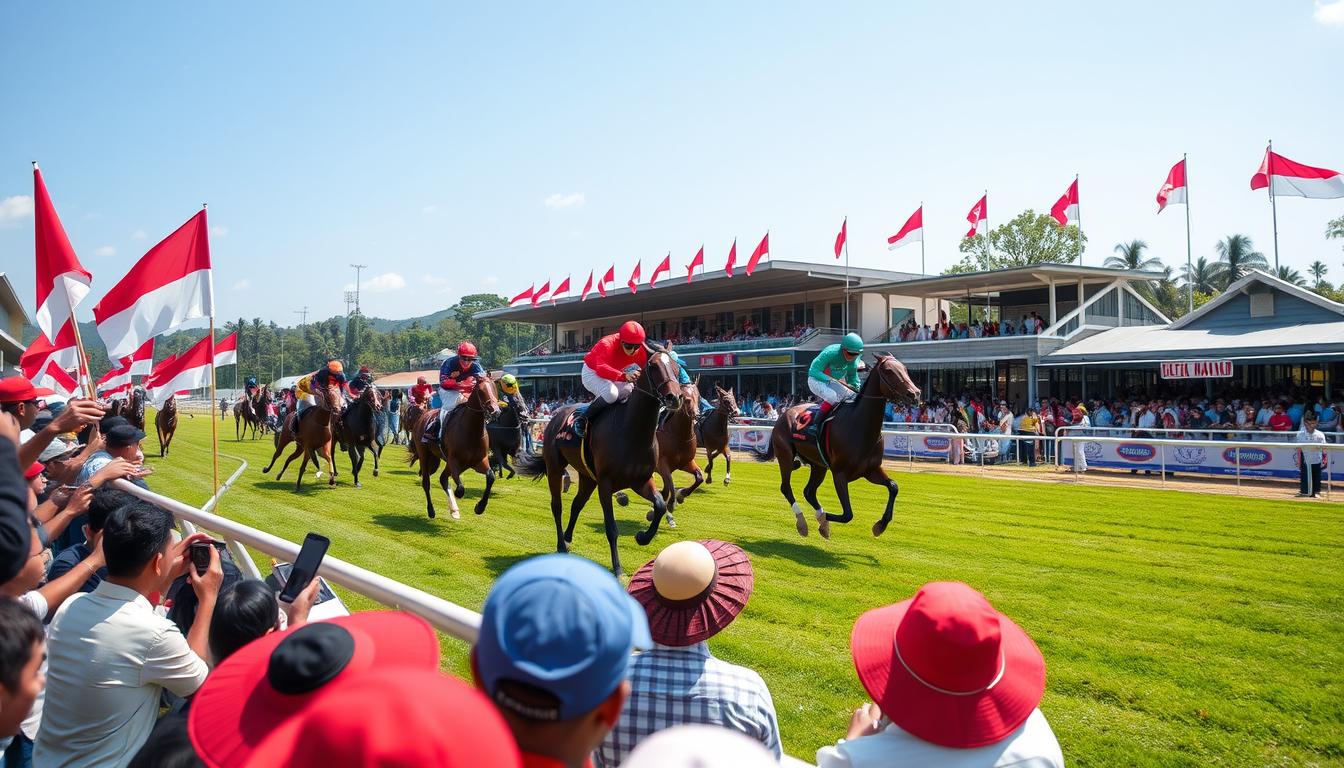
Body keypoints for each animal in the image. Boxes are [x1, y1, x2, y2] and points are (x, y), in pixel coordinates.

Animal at [405, 376, 502, 519]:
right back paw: (431, 511)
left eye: (494, 388)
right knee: (426, 482)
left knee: (443, 478)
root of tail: (423, 416)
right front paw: (458, 494)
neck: (471, 430)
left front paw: (480, 507)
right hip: (425, 455)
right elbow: (460, 488)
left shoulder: (479, 461)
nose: (495, 411)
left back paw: (454, 510)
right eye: (480, 391)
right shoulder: (454, 461)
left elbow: (490, 477)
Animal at [513, 349, 682, 575]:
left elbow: (661, 505)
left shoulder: (641, 480)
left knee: (576, 504)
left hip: (587, 477)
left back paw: (567, 538)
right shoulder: (605, 483)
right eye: (653, 366)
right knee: (557, 506)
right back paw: (561, 544)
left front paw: (642, 537)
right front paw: (618, 568)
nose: (675, 397)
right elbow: (611, 528)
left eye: (677, 367)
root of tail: (556, 416)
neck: (632, 431)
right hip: (555, 468)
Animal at [758, 355, 924, 540]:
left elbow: (894, 487)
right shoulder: (839, 474)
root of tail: (783, 414)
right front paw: (822, 520)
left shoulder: (871, 470)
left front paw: (880, 525)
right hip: (785, 456)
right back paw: (802, 523)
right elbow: (847, 514)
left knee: (809, 491)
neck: (860, 427)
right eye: (888, 371)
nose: (915, 394)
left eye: (905, 368)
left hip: (818, 465)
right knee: (786, 488)